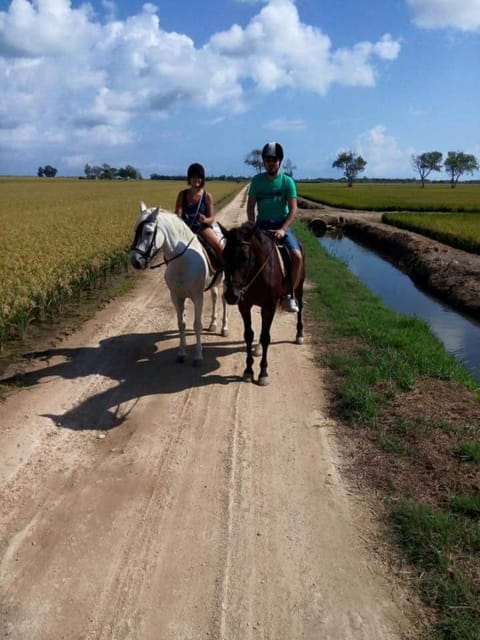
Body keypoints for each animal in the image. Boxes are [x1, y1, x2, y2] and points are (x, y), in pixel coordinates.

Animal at [130, 200, 230, 364]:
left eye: (149, 232)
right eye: (134, 230)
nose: (135, 261)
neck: (182, 261)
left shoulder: (197, 297)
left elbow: (197, 325)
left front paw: (198, 356)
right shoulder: (176, 297)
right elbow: (181, 324)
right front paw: (182, 353)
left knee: (223, 300)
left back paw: (224, 328)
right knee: (215, 297)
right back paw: (213, 324)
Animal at [224, 222, 306, 388]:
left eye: (244, 258)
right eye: (224, 255)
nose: (231, 295)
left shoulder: (269, 307)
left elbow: (266, 337)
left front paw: (263, 373)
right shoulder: (245, 306)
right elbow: (249, 335)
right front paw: (248, 371)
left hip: (299, 287)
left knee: (300, 309)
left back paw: (299, 335)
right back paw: (258, 348)